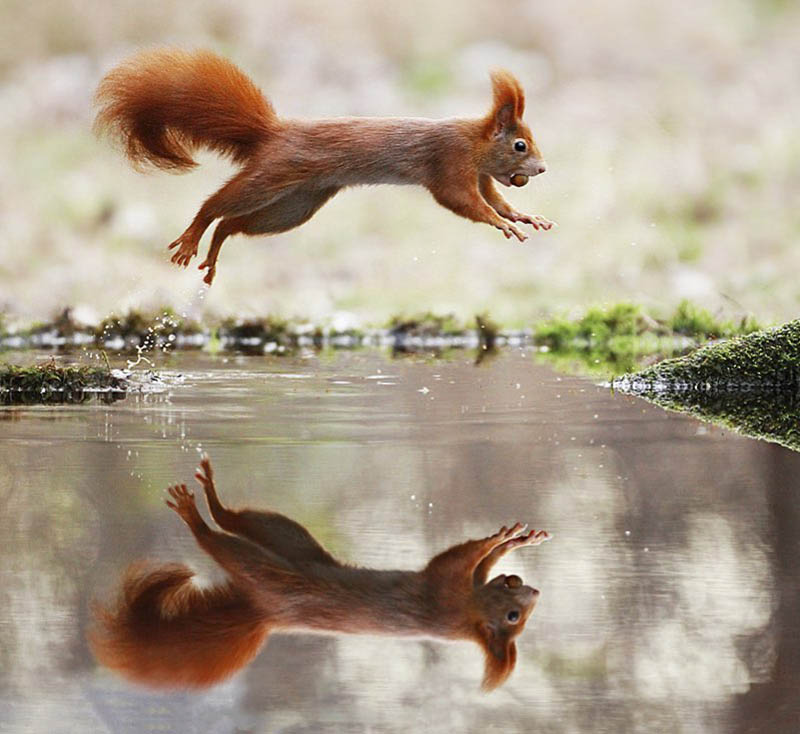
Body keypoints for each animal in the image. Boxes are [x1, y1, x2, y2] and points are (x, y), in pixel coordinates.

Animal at [89, 458, 552, 692]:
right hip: (289, 537)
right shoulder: (454, 585)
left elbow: (461, 557)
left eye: (514, 619)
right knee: (239, 519)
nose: (533, 591)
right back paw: (212, 496)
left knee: (219, 539)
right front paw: (513, 540)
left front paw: (503, 539)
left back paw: (196, 516)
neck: (468, 613)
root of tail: (264, 613)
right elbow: (479, 560)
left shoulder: (443, 588)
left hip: (267, 571)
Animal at [94, 50, 552, 286]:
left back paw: (213, 255)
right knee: (216, 205)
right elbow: (465, 202)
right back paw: (192, 238)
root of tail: (273, 133)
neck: (475, 143)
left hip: (295, 206)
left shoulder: (480, 175)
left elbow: (494, 197)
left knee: (232, 223)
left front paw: (522, 216)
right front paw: (500, 222)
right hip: (271, 177)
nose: (543, 169)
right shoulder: (449, 164)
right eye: (520, 145)